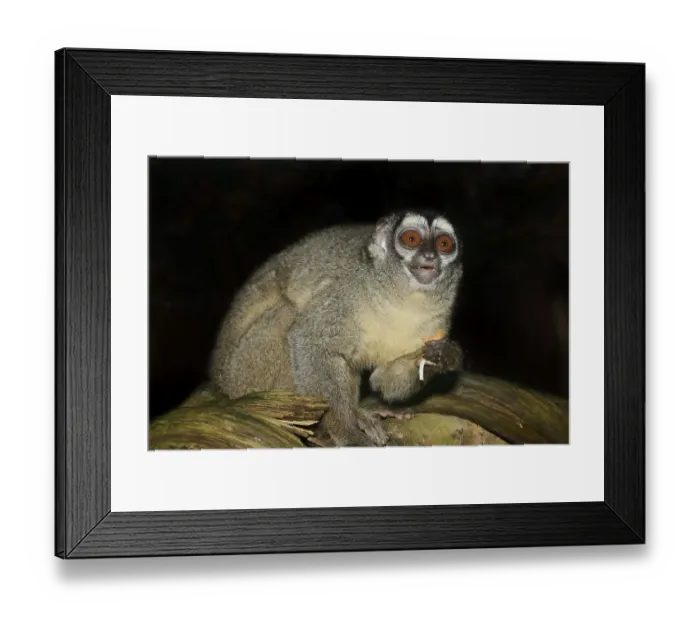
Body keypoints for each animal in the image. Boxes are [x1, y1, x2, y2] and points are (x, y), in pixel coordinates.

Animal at [208, 210, 464, 447]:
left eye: (444, 244)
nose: (430, 255)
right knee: (290, 313)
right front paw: (348, 433)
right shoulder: (346, 292)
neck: (402, 296)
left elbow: (383, 379)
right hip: (243, 374)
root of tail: (221, 386)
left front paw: (442, 358)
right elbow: (309, 338)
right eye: (411, 239)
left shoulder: (438, 321)